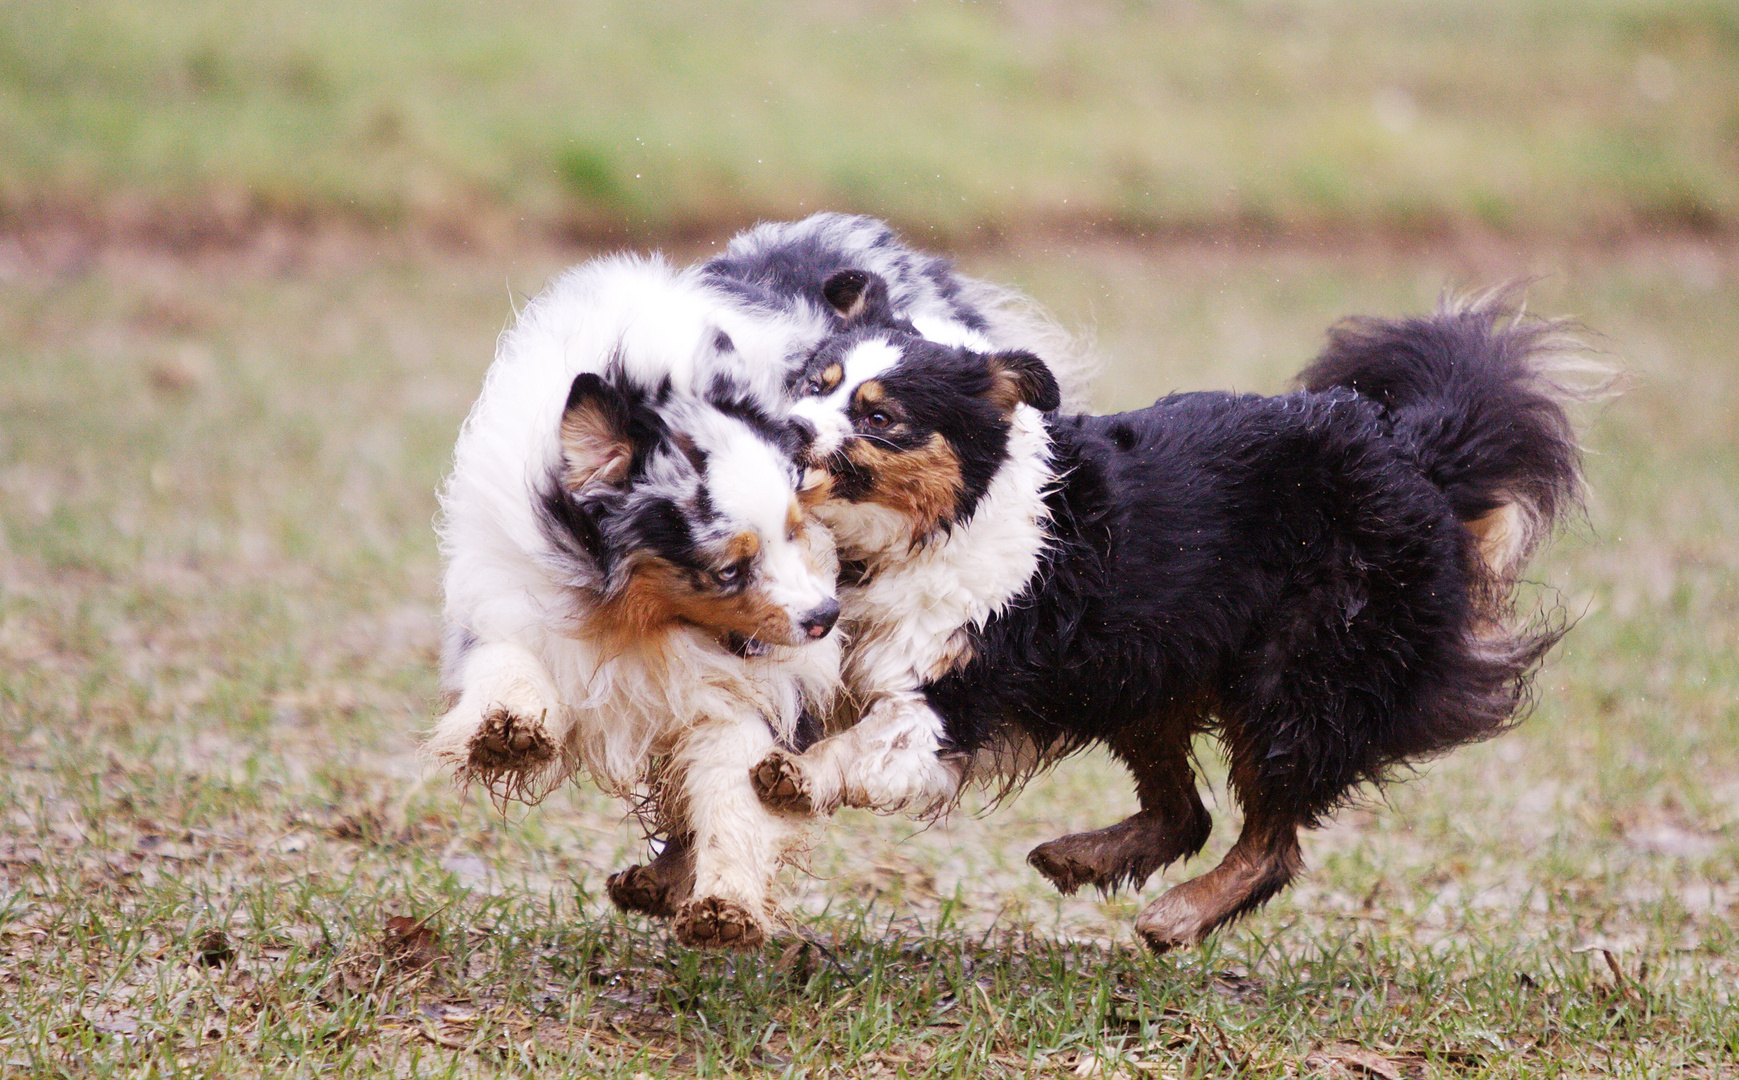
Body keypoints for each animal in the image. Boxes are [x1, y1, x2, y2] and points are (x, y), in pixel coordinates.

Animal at [424, 210, 1085, 946]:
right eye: (728, 568)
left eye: (796, 530)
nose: (825, 619)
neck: (637, 619)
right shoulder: (513, 585)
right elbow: (506, 661)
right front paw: (505, 732)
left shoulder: (757, 682)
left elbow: (734, 785)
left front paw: (724, 902)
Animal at [754, 278, 1592, 953]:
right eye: (813, 382)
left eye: (881, 416)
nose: (785, 430)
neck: (930, 526)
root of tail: (1410, 452)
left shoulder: (958, 679)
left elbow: (874, 739)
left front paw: (794, 777)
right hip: (1146, 672)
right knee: (1184, 813)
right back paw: (1083, 857)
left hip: (1300, 671)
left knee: (1272, 840)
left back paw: (1178, 916)